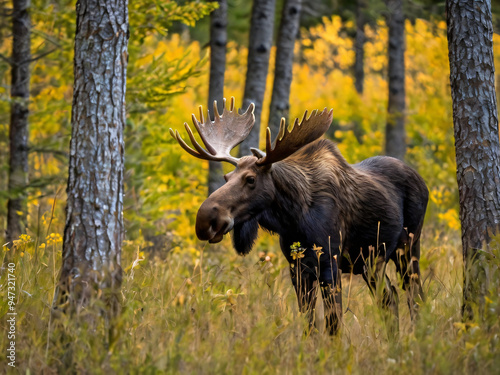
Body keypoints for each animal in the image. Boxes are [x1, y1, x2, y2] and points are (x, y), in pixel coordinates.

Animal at [170, 97, 428, 334]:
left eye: (251, 179)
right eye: (226, 177)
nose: (205, 221)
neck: (293, 220)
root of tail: (422, 181)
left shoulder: (330, 264)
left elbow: (333, 324)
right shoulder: (297, 269)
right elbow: (309, 324)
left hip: (408, 248)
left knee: (415, 296)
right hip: (370, 263)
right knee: (390, 298)